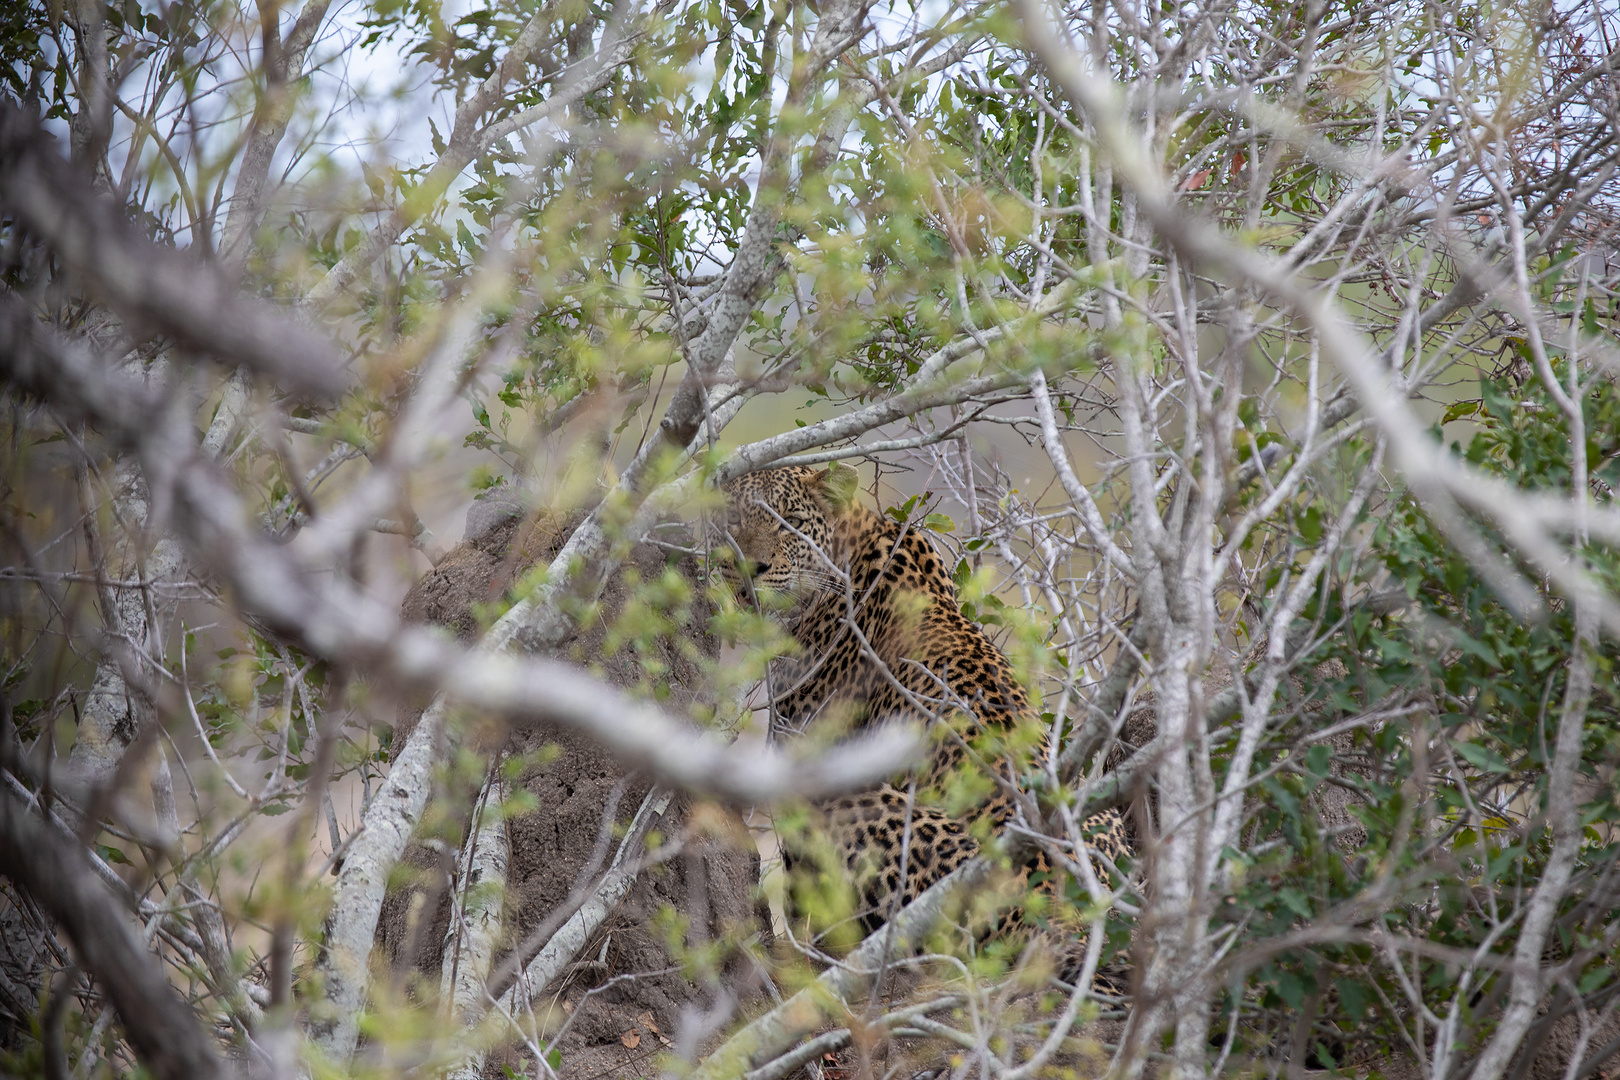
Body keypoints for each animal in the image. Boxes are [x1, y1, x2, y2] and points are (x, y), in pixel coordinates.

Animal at [716, 466, 1134, 971]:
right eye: (734, 520)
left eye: (792, 523)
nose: (750, 569)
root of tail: (1056, 907)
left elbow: (801, 887)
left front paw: (795, 949)